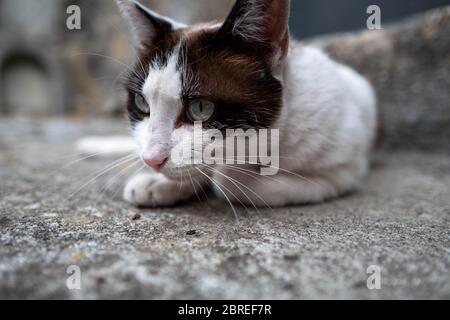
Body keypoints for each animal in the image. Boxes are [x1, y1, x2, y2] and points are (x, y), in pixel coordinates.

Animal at [111, 0, 376, 208]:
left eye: (200, 107)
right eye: (142, 103)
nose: (151, 160)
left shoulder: (343, 169)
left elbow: (229, 184)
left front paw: (228, 177)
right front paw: (159, 183)